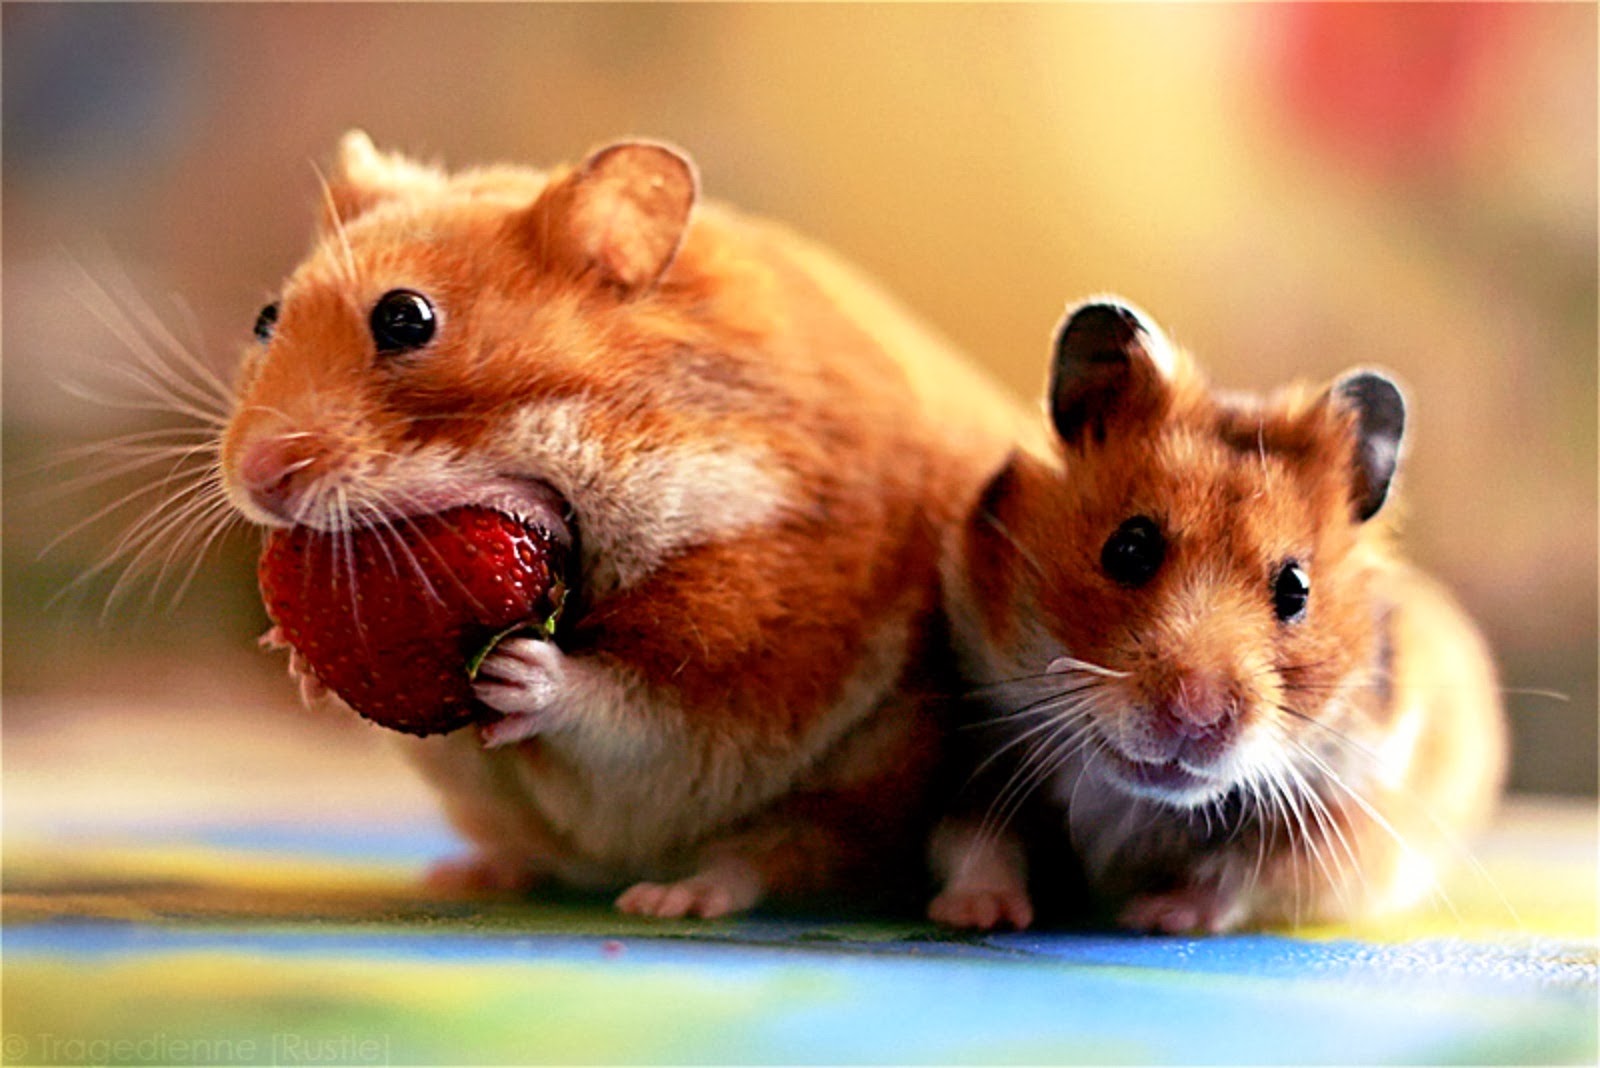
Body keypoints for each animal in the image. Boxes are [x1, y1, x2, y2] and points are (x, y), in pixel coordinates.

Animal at [221, 132, 1029, 917]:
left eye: (405, 317)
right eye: (265, 319)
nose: (257, 479)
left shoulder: (746, 647)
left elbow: (627, 712)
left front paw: (519, 672)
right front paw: (294, 659)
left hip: (866, 791)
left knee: (786, 859)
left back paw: (681, 900)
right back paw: (469, 875)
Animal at [930, 299, 1507, 933]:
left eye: (1296, 589)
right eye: (1129, 548)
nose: (1195, 715)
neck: (1134, 803)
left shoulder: (1344, 825)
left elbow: (1239, 880)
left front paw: (1152, 916)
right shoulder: (977, 754)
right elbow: (976, 841)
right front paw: (977, 916)